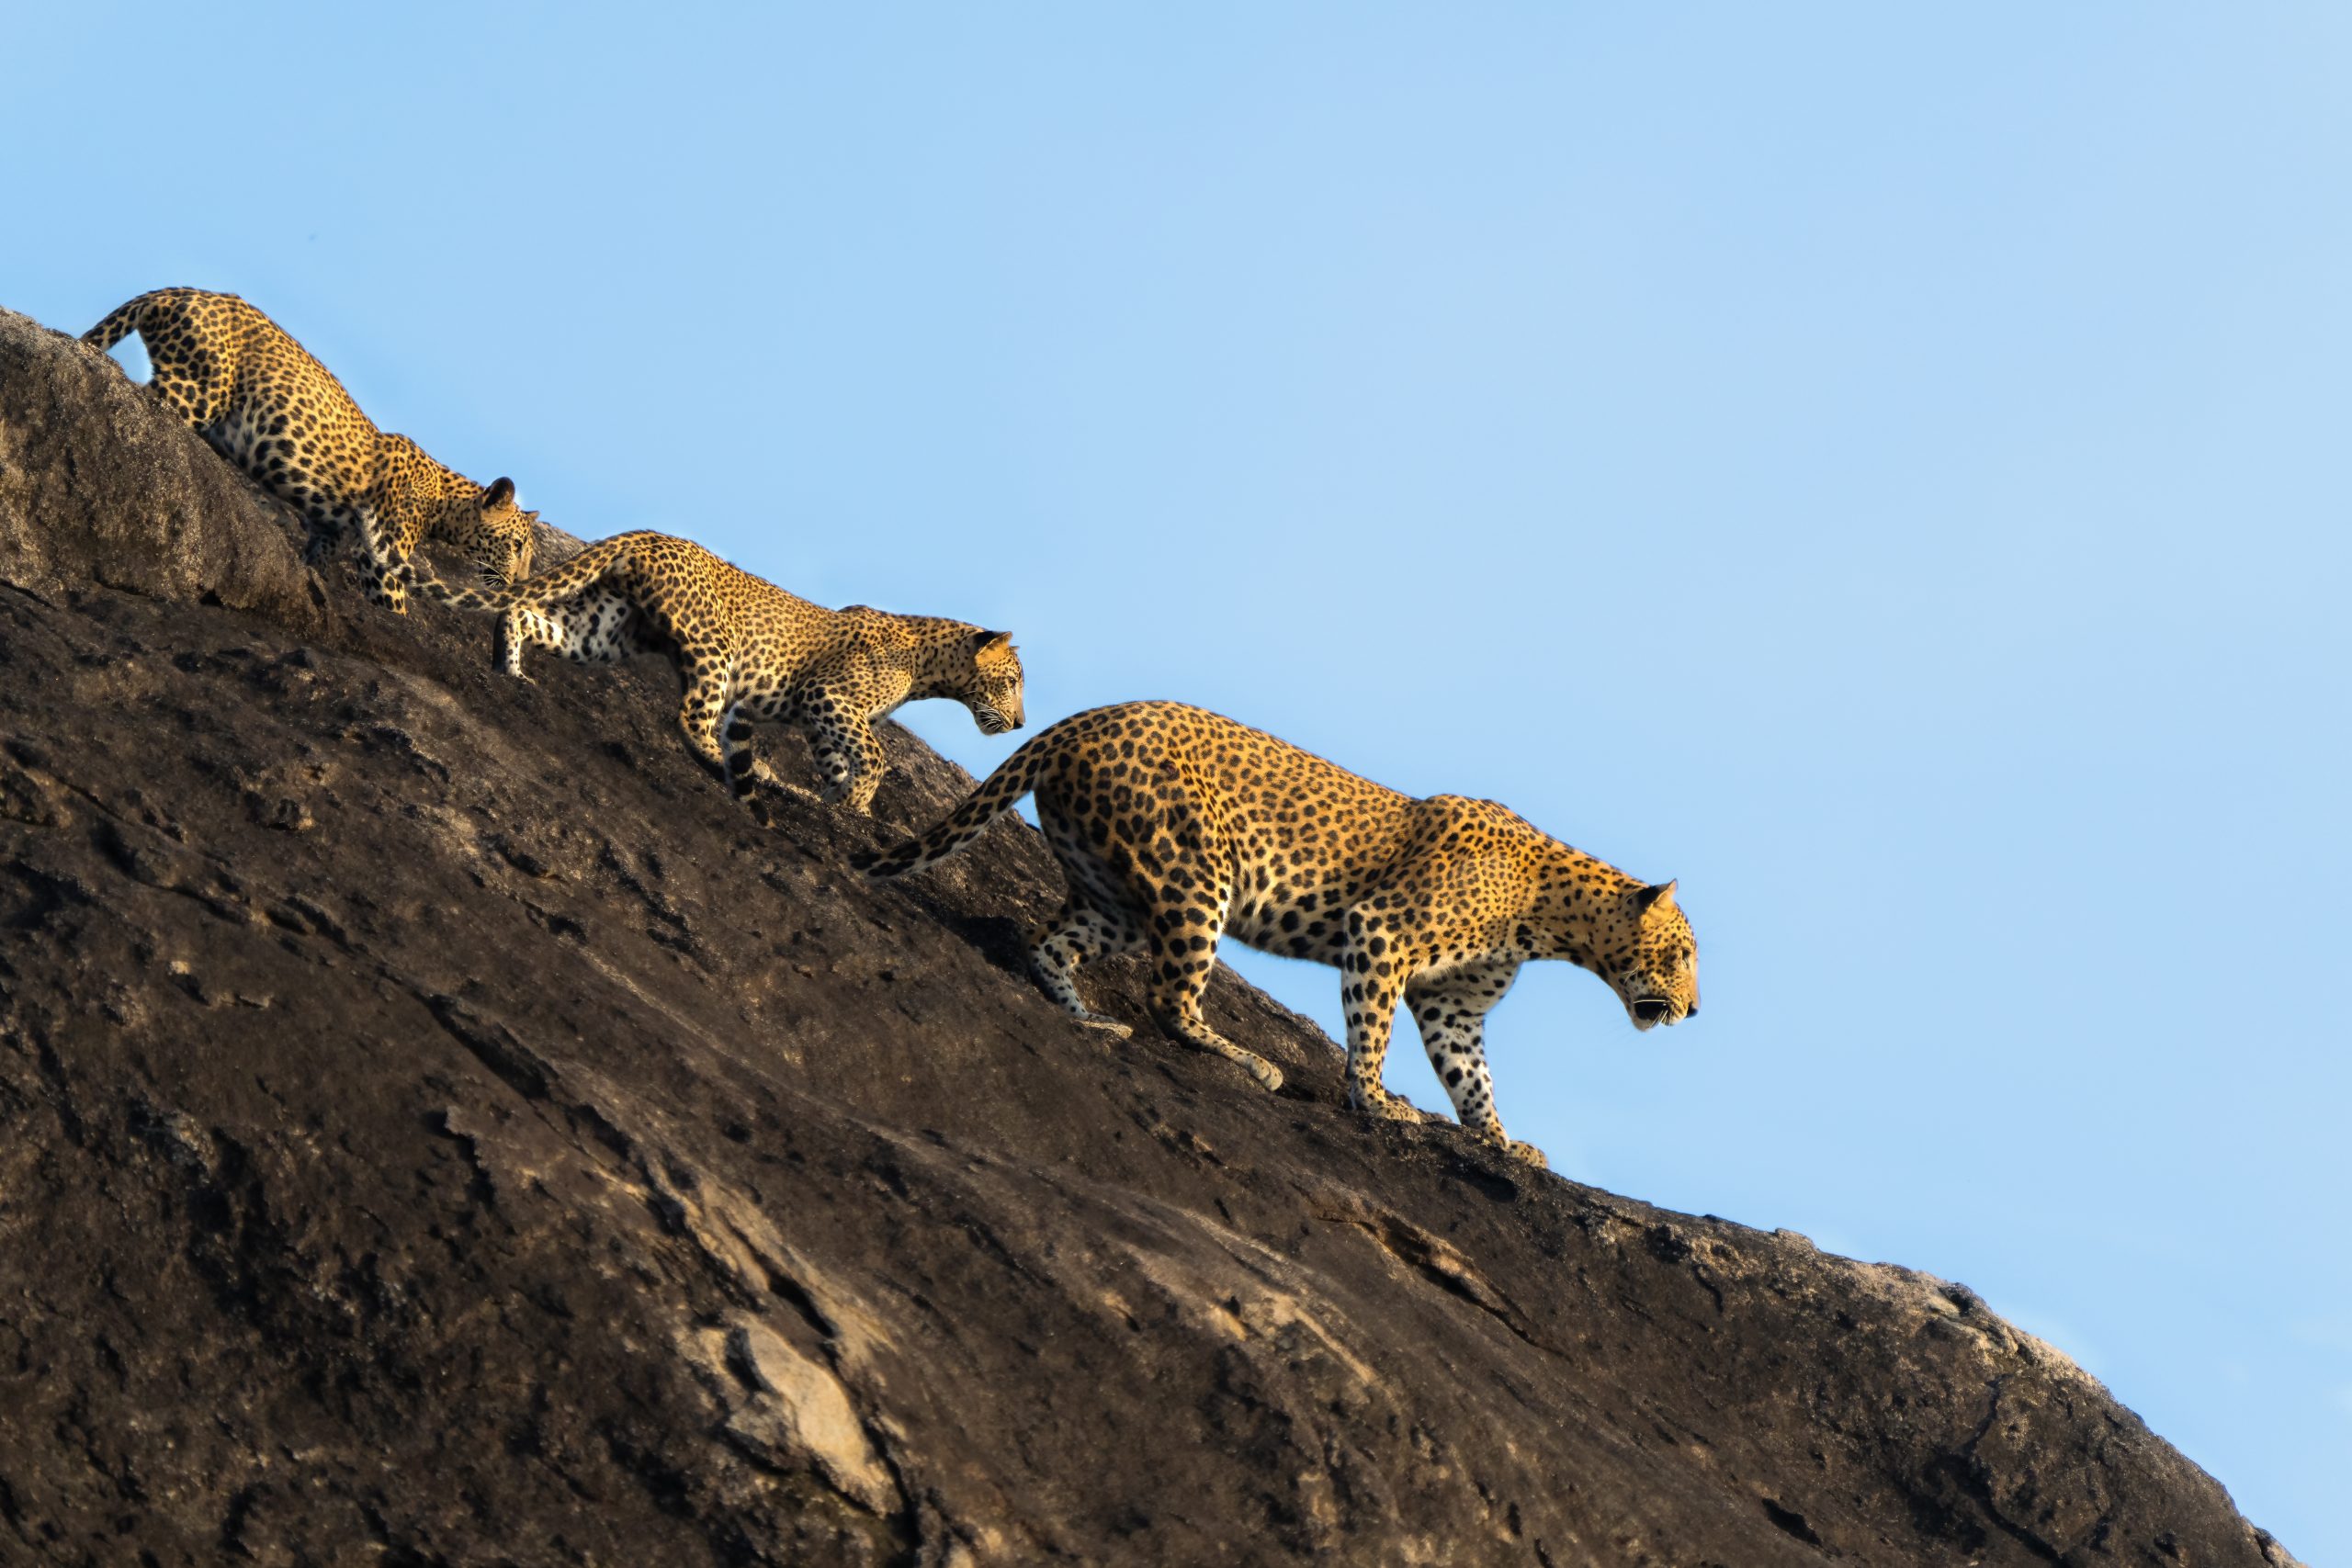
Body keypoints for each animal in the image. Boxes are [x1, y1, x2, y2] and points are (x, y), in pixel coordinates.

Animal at [83, 287, 537, 612]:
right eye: (517, 546)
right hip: (198, 391)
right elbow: (393, 606)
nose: (517, 584)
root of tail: (179, 292)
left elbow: (312, 563)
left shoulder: (329, 534)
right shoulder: (380, 558)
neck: (443, 501)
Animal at [414, 529, 1024, 813]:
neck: (929, 669)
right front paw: (858, 803)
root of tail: (650, 534)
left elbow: (835, 760)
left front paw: (836, 800)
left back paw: (510, 671)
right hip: (714, 648)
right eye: (1014, 680)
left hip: (606, 629)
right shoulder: (829, 697)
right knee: (690, 716)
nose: (1020, 724)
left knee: (522, 614)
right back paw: (736, 766)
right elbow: (876, 754)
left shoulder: (820, 715)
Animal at [854, 700, 1697, 1165]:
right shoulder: (1382, 933)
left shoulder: (1454, 1005)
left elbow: (1473, 1078)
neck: (1550, 916)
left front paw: (1501, 1141)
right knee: (1169, 996)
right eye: (1683, 954)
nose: (1693, 1010)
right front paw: (1376, 1102)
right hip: (1195, 875)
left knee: (1049, 944)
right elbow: (1371, 1032)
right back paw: (1248, 1060)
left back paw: (1089, 1019)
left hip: (1117, 896)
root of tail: (1084, 719)